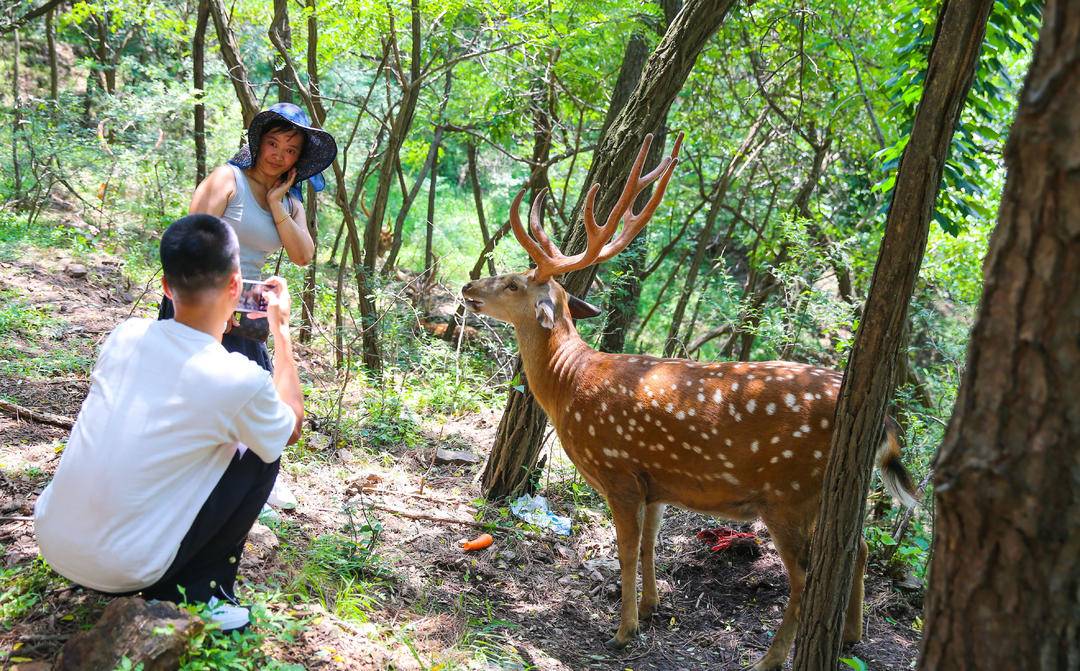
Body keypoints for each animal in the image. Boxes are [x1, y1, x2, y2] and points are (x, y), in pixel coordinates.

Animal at [464, 133, 920, 665]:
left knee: (806, 576)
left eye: (513, 283)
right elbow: (650, 545)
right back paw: (850, 635)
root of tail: (883, 422)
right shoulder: (656, 482)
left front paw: (624, 631)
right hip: (836, 492)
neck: (570, 382)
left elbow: (625, 548)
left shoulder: (618, 470)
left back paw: (770, 659)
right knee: (856, 550)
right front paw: (653, 606)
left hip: (790, 493)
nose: (468, 285)